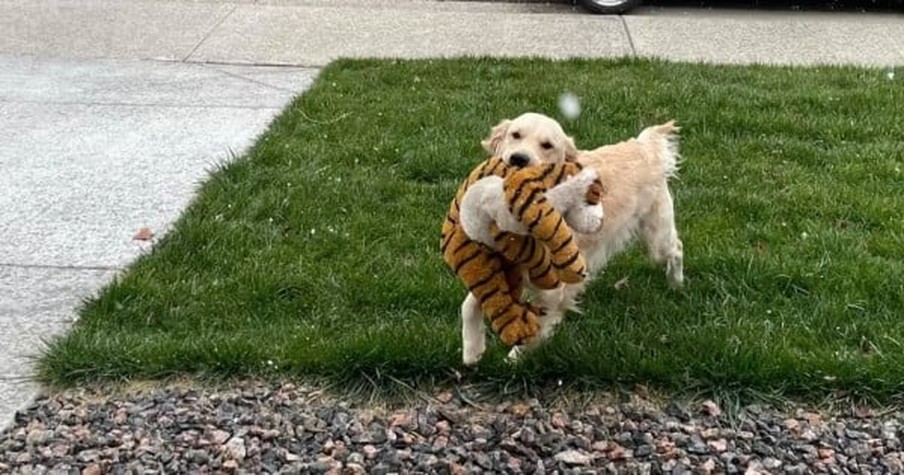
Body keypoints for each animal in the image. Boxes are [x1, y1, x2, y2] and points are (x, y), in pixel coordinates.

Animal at [462, 113, 680, 366]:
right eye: (515, 135)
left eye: (547, 145)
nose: (518, 158)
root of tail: (642, 145)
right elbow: (468, 305)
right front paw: (472, 350)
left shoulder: (553, 290)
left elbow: (535, 327)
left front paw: (514, 358)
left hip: (657, 239)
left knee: (676, 249)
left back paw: (677, 283)